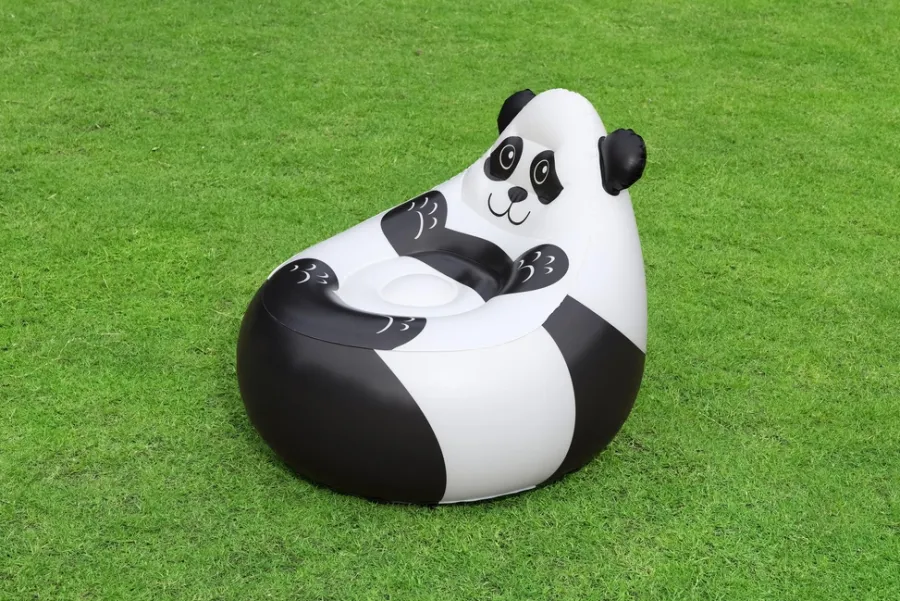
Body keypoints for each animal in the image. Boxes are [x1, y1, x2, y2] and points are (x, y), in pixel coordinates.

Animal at [236, 88, 647, 504]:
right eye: (506, 158)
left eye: (542, 174)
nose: (515, 193)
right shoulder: (427, 218)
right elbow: (410, 221)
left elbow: (547, 262)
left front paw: (540, 265)